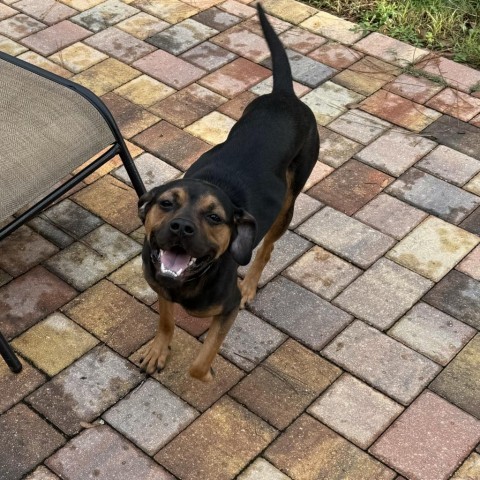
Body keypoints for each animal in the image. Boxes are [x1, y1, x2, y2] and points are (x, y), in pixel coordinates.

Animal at [139, 2, 318, 378]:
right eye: (166, 203)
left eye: (215, 217)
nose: (181, 227)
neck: (186, 282)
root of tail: (284, 95)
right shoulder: (161, 286)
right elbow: (166, 320)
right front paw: (159, 349)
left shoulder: (227, 308)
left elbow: (200, 361)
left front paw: (205, 372)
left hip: (288, 204)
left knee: (266, 249)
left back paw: (249, 283)